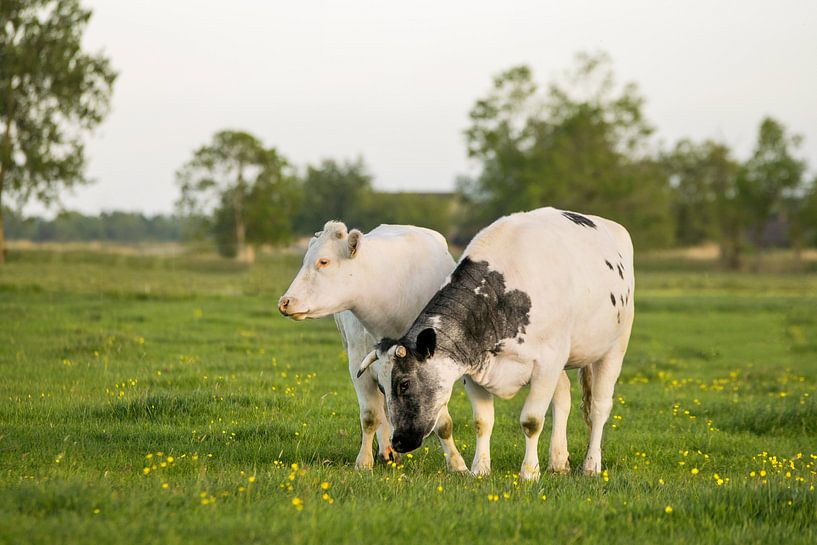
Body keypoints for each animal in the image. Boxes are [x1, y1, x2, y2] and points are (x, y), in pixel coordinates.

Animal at [278, 221, 468, 472]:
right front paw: (364, 461)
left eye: (323, 261)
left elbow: (443, 422)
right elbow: (370, 416)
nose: (285, 302)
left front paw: (457, 463)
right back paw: (386, 450)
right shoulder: (359, 365)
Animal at [360, 208, 636, 480]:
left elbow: (532, 421)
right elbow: (482, 421)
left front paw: (529, 473)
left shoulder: (546, 365)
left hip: (615, 348)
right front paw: (480, 469)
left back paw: (591, 464)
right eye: (381, 388)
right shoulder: (472, 369)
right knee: (563, 399)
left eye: (404, 384)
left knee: (599, 408)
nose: (398, 441)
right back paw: (558, 461)